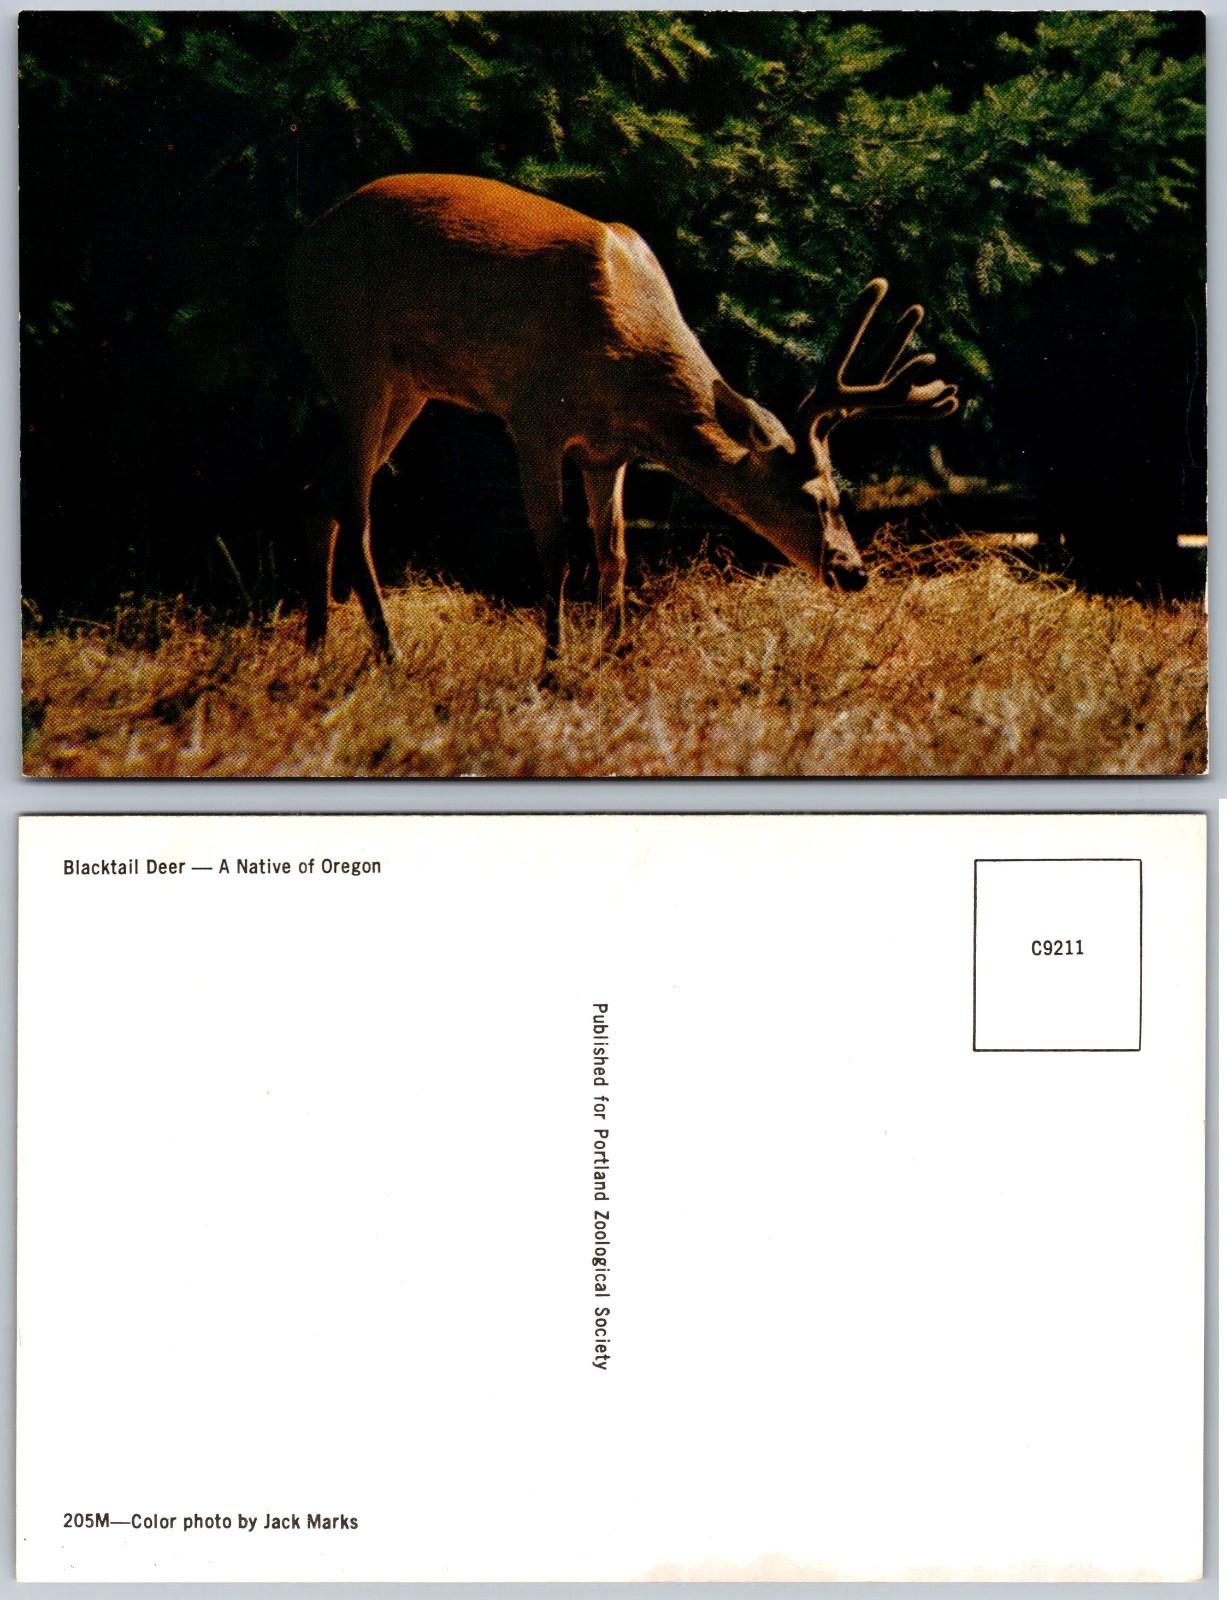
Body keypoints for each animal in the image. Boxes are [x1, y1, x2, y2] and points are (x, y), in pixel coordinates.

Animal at [288, 173, 958, 666]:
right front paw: (554, 662)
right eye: (816, 498)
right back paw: (387, 651)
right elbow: (555, 547)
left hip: (411, 386)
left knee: (319, 488)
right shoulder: (532, 415)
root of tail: (304, 249)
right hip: (358, 358)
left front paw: (614, 653)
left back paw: (316, 646)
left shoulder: (607, 450)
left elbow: (614, 551)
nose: (855, 572)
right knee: (356, 504)